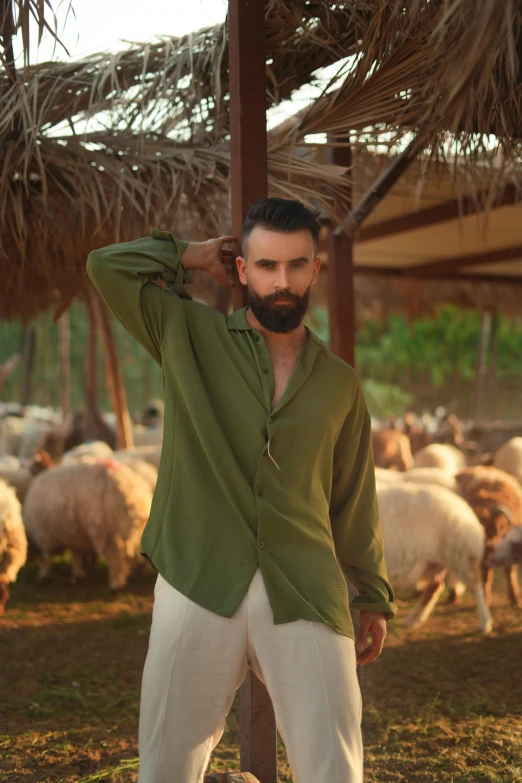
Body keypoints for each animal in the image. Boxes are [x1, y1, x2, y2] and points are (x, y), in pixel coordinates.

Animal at [22, 460, 152, 588]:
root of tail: (135, 498)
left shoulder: (45, 535)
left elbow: (47, 557)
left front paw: (44, 576)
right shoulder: (74, 534)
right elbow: (76, 555)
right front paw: (78, 575)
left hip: (110, 533)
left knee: (116, 560)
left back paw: (117, 584)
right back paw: (146, 572)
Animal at [374, 480, 492, 632]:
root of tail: (463, 506)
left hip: (462, 554)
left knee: (476, 586)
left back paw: (485, 623)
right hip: (434, 562)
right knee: (436, 587)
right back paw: (414, 619)